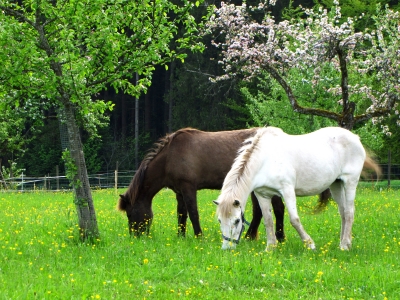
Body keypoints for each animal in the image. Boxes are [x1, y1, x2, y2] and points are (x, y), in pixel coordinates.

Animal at [117, 127, 286, 240]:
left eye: (130, 213)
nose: (135, 237)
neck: (170, 156)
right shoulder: (179, 191)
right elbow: (181, 214)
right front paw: (181, 236)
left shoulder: (188, 187)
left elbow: (193, 213)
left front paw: (199, 236)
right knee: (260, 211)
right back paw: (252, 237)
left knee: (277, 208)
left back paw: (278, 237)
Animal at [214, 126, 380, 251]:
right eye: (220, 220)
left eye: (237, 221)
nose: (227, 247)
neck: (266, 159)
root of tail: (355, 137)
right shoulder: (262, 194)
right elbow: (268, 220)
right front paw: (270, 248)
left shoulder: (287, 190)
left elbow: (294, 219)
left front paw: (310, 244)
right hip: (336, 184)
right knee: (343, 213)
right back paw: (345, 242)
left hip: (350, 182)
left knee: (349, 212)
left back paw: (344, 245)